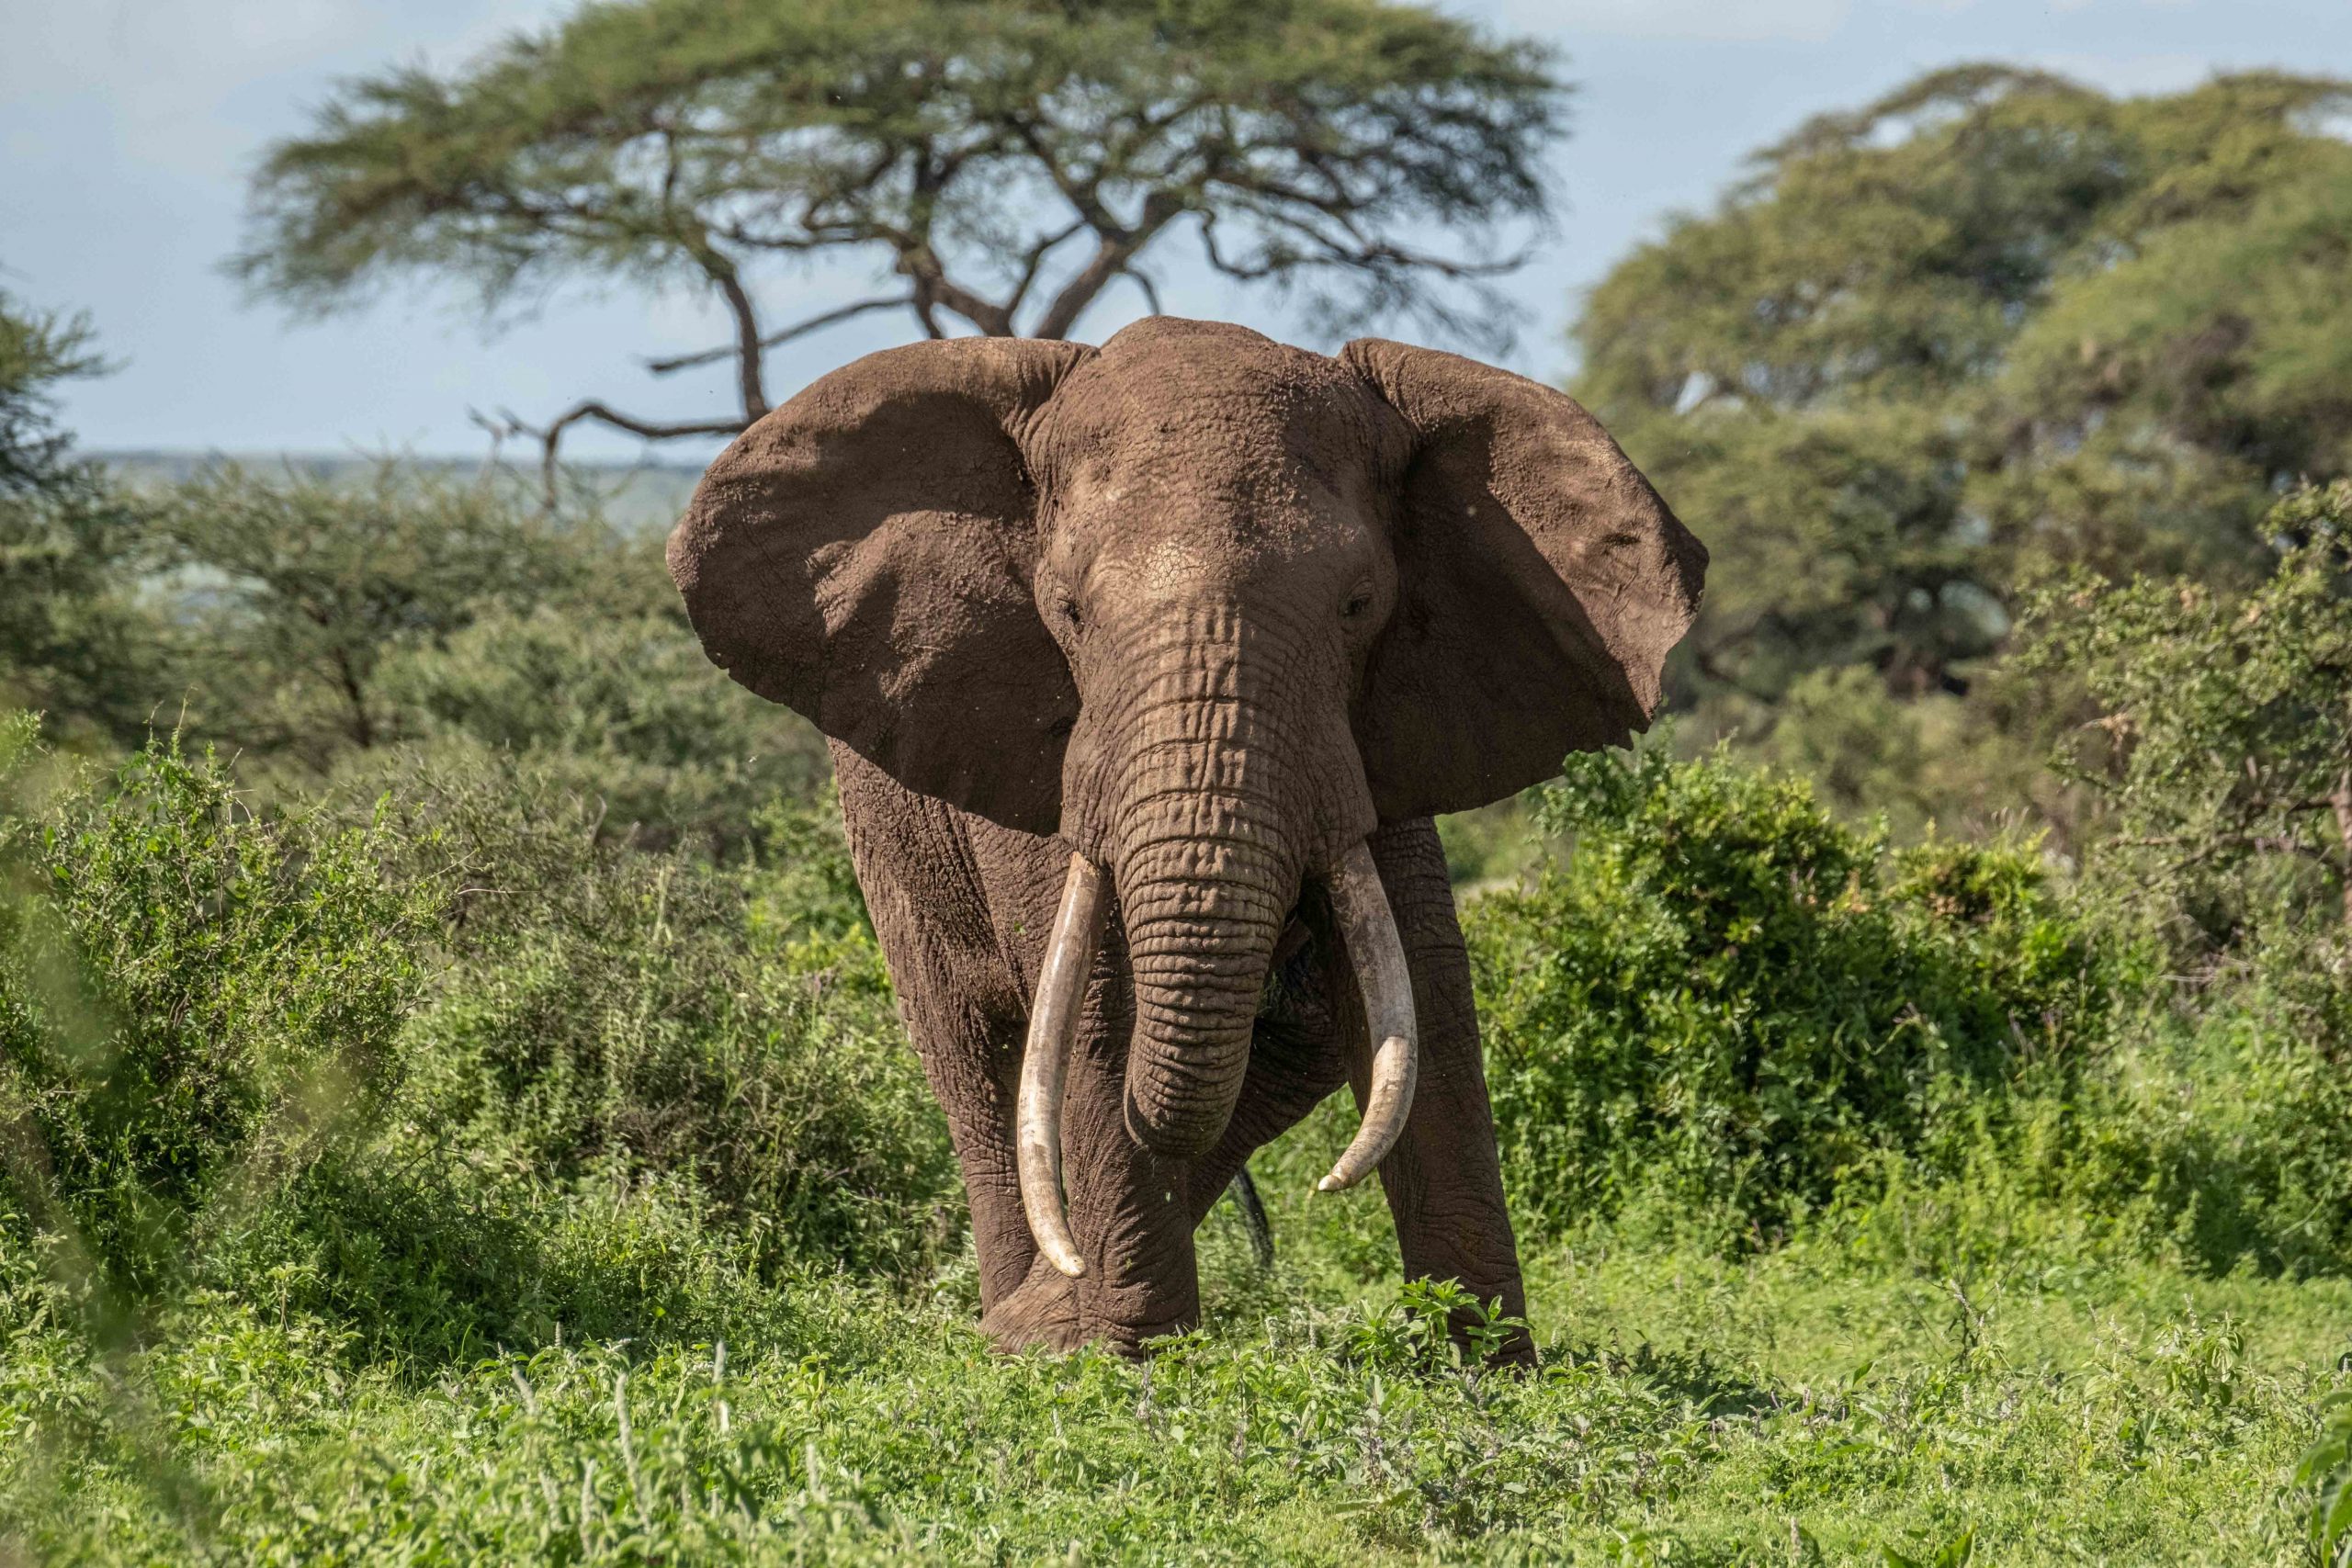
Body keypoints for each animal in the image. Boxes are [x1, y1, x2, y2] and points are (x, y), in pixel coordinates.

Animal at [673, 320, 1702, 1363]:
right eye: (1070, 610)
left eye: (1359, 605)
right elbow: (1095, 999)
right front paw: (1134, 1358)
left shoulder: (1380, 730)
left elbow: (1423, 987)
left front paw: (1486, 1366)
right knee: (976, 1058)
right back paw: (1016, 1327)